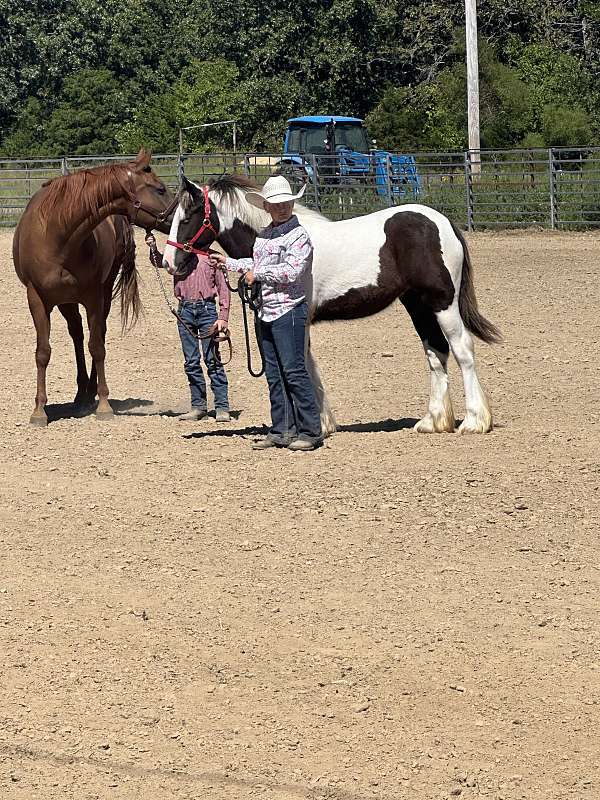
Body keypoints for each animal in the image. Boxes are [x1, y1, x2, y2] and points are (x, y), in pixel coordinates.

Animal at [12, 149, 175, 424]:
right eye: (160, 189)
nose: (184, 216)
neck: (58, 235)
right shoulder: (37, 299)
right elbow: (43, 352)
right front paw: (39, 410)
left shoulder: (93, 297)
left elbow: (97, 347)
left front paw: (104, 404)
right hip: (66, 301)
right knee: (77, 335)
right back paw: (81, 394)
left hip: (103, 293)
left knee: (96, 334)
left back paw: (90, 393)